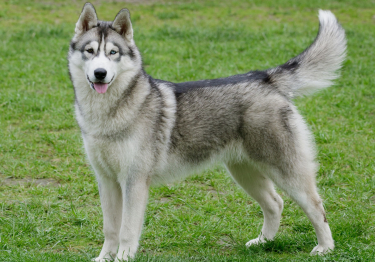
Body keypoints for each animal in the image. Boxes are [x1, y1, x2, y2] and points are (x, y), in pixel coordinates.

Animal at [68, 3, 346, 260]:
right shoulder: (106, 181)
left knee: (316, 206)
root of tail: (265, 78)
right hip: (244, 173)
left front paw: (123, 258)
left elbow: (126, 230)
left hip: (286, 172)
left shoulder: (133, 182)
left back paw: (325, 248)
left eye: (113, 52)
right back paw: (263, 242)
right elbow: (110, 229)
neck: (108, 114)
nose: (100, 73)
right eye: (90, 51)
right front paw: (104, 258)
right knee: (275, 204)